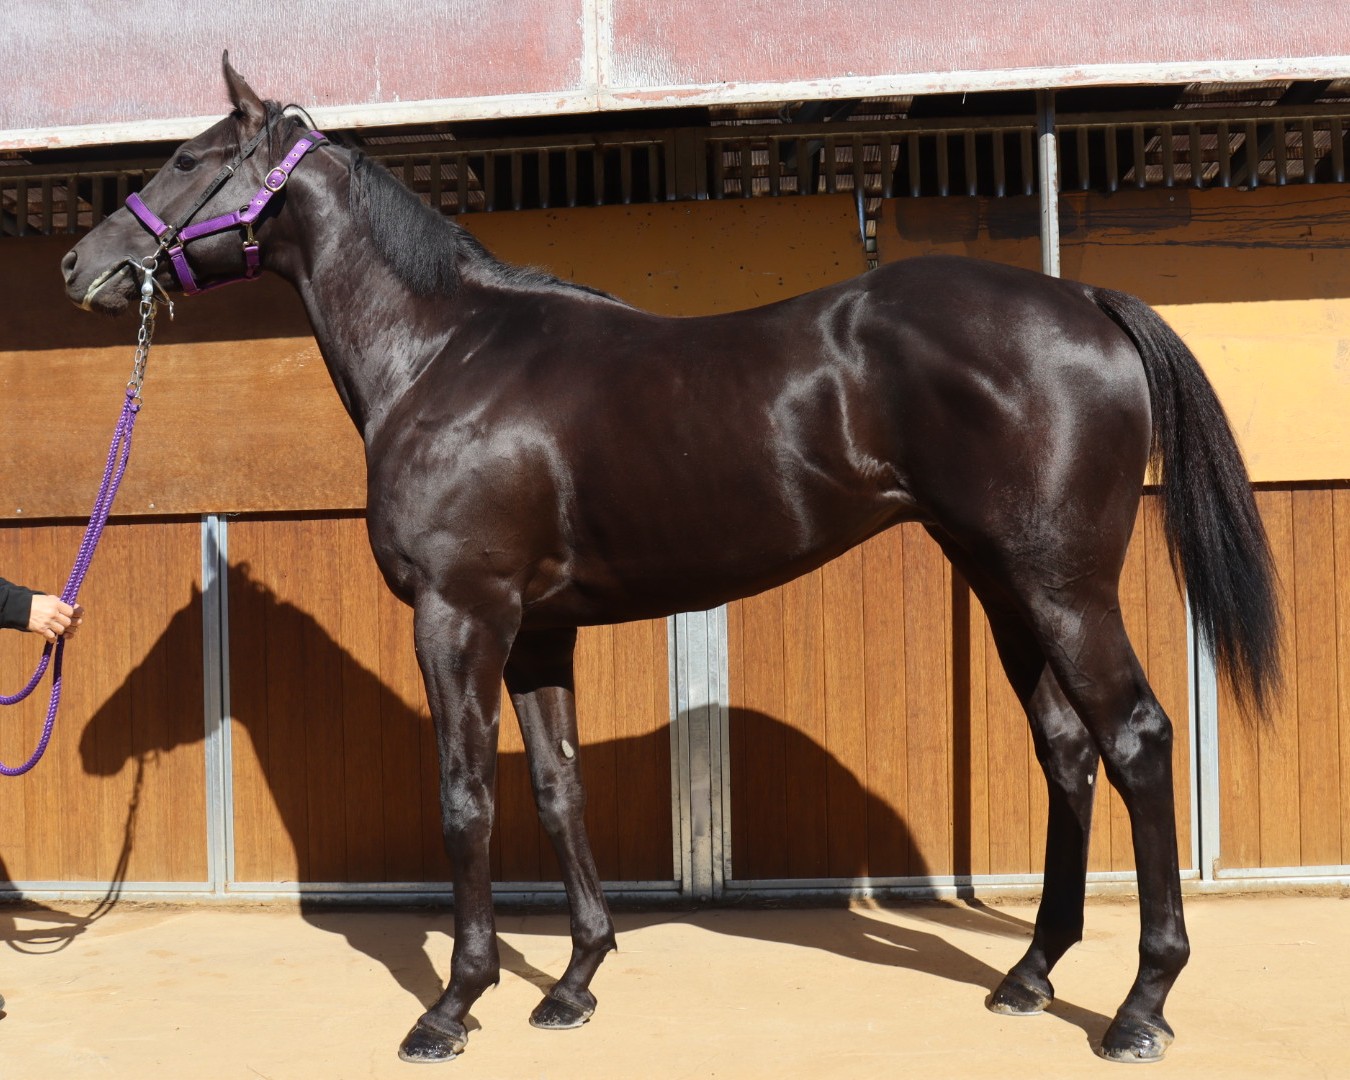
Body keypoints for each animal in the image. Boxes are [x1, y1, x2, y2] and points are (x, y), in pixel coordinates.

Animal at [60, 56, 1279, 1065]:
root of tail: (1084, 300)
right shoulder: (536, 630)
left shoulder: (460, 614)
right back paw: (1031, 976)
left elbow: (465, 797)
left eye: (187, 159)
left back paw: (1140, 1007)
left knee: (1135, 739)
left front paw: (453, 1005)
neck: (446, 353)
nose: (83, 262)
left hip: (1063, 585)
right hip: (1002, 581)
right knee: (1068, 750)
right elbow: (558, 789)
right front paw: (575, 982)